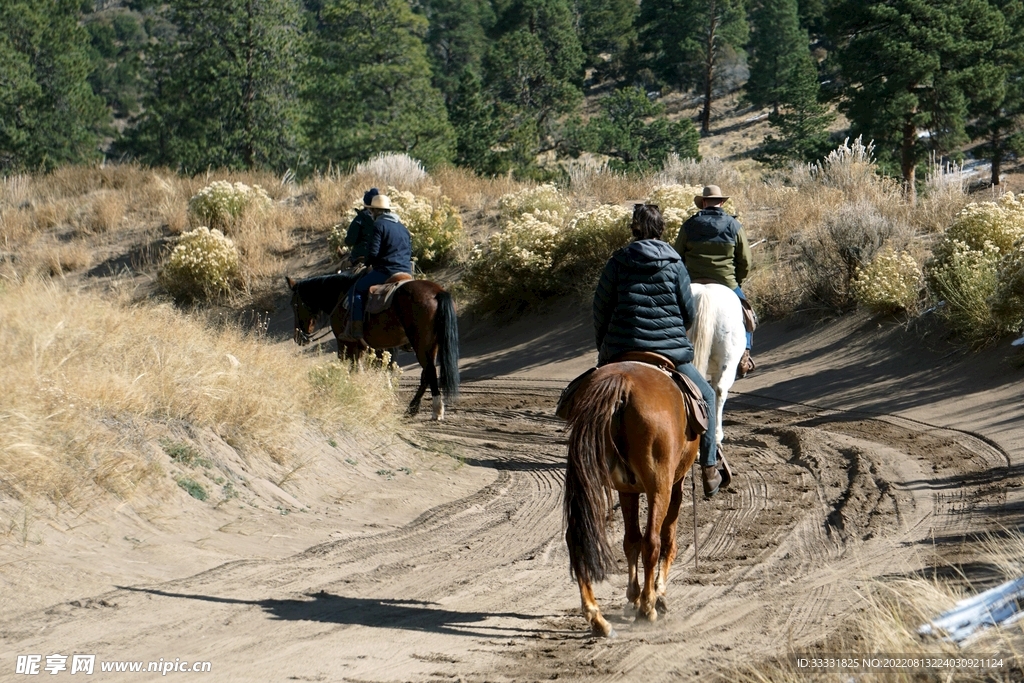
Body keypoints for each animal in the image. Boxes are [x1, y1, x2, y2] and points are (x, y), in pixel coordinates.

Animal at [286, 273, 459, 420]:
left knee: (429, 371)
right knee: (426, 375)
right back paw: (411, 409)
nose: (298, 338)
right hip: (431, 345)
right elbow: (373, 369)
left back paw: (436, 410)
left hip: (421, 345)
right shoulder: (368, 347)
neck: (340, 294)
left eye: (294, 304)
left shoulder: (345, 343)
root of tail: (437, 291)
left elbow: (350, 367)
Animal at [560, 361, 701, 637]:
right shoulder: (675, 485)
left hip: (588, 475)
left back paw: (597, 618)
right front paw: (657, 594)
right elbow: (666, 540)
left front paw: (633, 596)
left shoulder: (627, 490)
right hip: (659, 485)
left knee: (576, 537)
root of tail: (621, 382)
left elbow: (630, 541)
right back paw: (647, 608)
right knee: (652, 542)